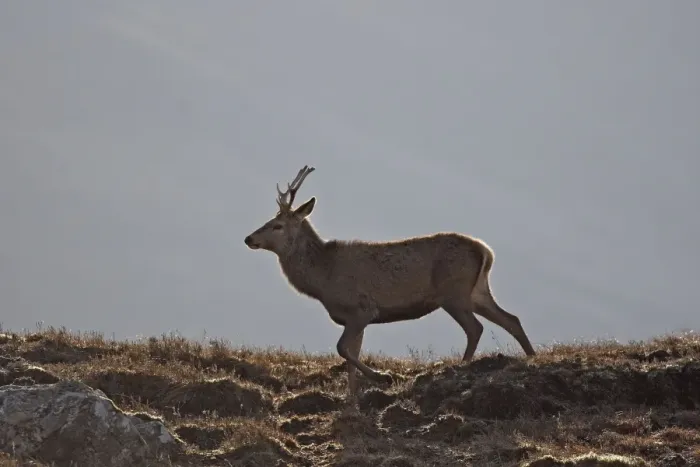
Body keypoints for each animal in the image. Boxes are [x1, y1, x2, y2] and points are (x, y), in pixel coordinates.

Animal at [244, 165, 536, 401]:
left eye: (277, 225)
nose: (249, 238)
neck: (322, 280)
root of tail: (485, 251)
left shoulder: (362, 308)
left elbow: (342, 349)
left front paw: (383, 377)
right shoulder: (352, 318)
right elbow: (350, 356)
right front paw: (352, 399)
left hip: (454, 293)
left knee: (476, 328)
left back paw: (462, 367)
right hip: (477, 292)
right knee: (511, 319)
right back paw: (531, 357)